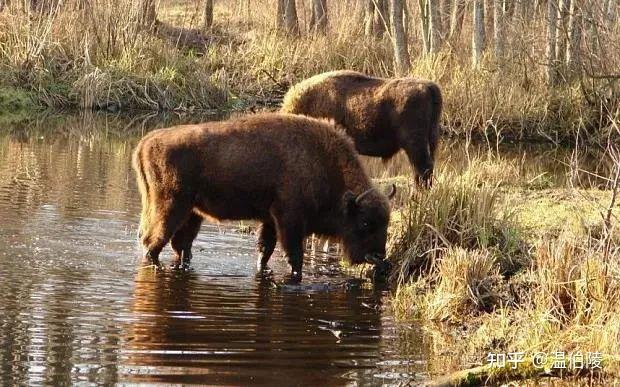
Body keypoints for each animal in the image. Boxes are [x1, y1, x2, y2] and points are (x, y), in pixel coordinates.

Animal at [133, 113, 394, 280]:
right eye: (365, 222)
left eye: (387, 223)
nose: (378, 256)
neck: (321, 161)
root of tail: (146, 141)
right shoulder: (289, 221)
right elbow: (294, 256)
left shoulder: (270, 220)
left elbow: (264, 251)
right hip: (169, 208)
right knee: (152, 243)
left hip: (192, 213)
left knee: (180, 246)